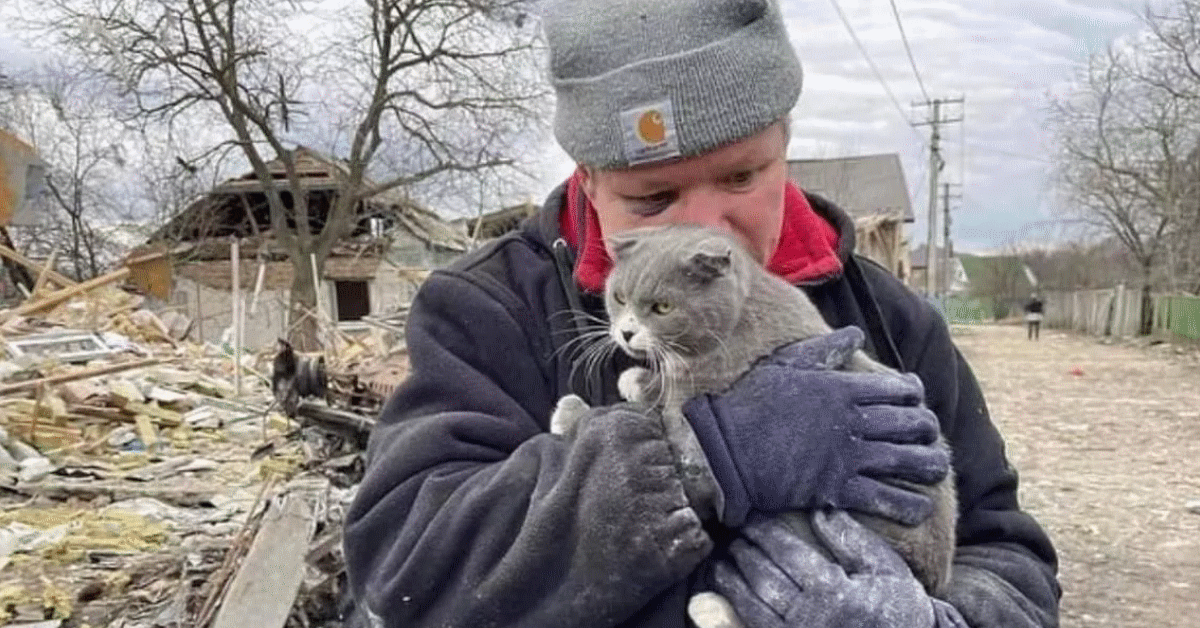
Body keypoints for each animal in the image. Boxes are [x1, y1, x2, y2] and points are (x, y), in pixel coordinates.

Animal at [549, 223, 955, 624]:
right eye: (618, 297)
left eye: (662, 307)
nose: (626, 333)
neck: (738, 317)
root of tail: (932, 578)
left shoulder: (697, 401)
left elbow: (662, 417)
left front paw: (584, 404)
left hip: (817, 521)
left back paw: (711, 607)